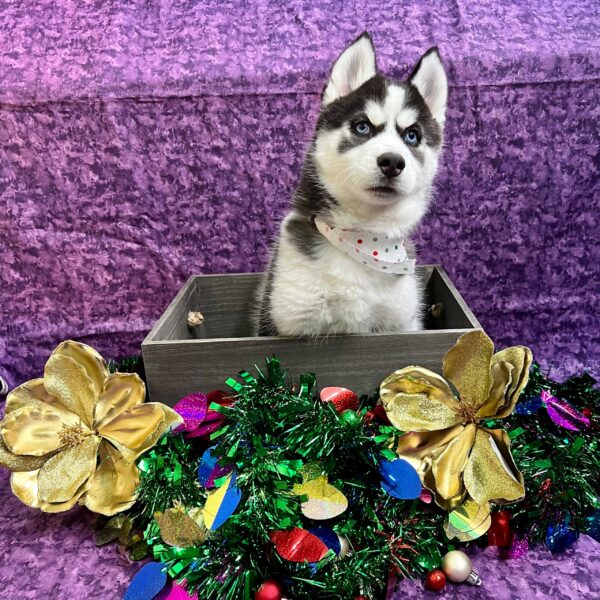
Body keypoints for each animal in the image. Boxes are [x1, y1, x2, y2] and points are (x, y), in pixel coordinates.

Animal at [255, 34, 448, 338]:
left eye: (412, 135)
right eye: (362, 127)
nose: (392, 162)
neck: (364, 240)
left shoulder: (401, 322)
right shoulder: (290, 323)